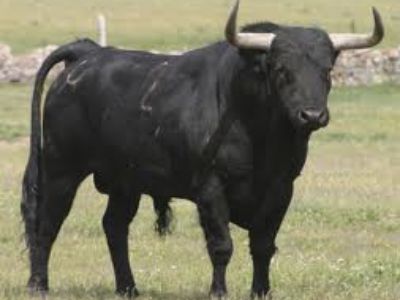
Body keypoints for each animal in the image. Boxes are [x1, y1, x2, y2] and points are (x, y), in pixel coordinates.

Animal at [22, 0, 384, 298]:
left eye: (327, 70)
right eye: (282, 70)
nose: (312, 115)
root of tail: (87, 53)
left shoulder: (282, 188)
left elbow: (263, 245)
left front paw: (261, 292)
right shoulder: (211, 187)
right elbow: (221, 245)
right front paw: (218, 292)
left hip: (126, 180)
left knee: (114, 226)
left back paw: (128, 288)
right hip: (61, 169)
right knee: (47, 223)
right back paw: (39, 285)